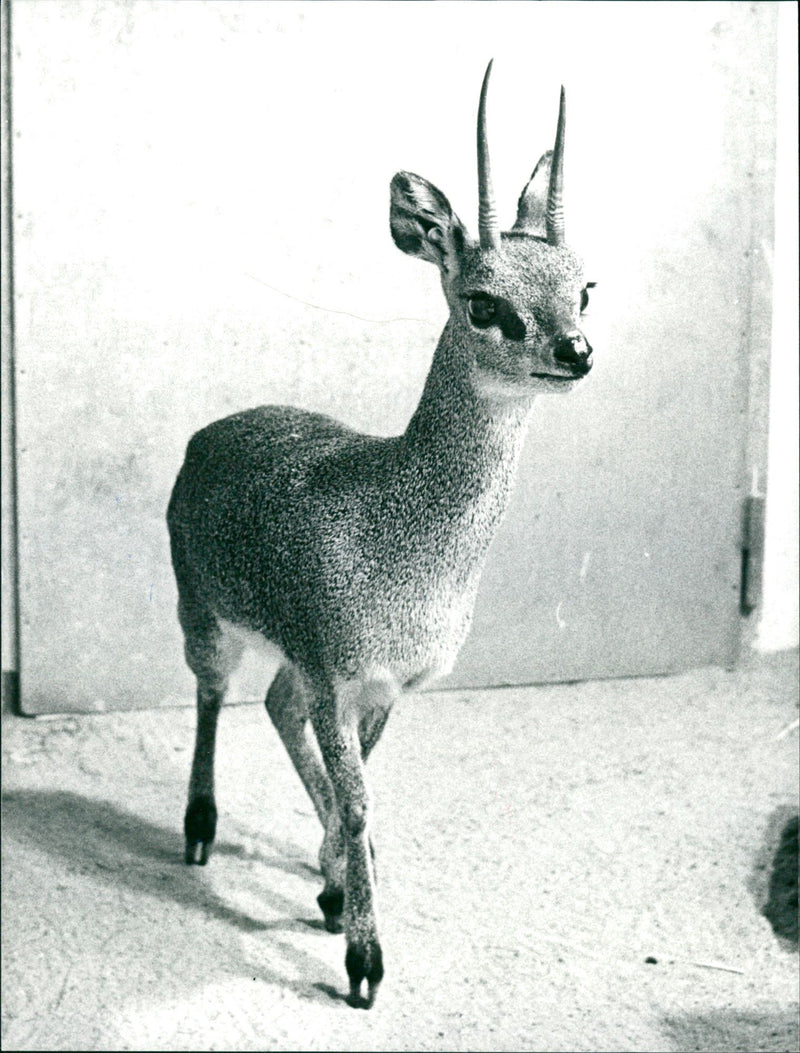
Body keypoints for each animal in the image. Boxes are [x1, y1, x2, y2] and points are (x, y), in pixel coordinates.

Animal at [168, 61, 593, 1006]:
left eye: (584, 285)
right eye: (484, 301)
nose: (578, 350)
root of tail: (207, 432)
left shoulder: (388, 682)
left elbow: (363, 789)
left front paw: (336, 887)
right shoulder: (337, 670)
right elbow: (360, 797)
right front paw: (364, 962)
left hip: (288, 657)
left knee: (275, 707)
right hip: (202, 613)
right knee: (213, 694)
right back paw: (200, 827)